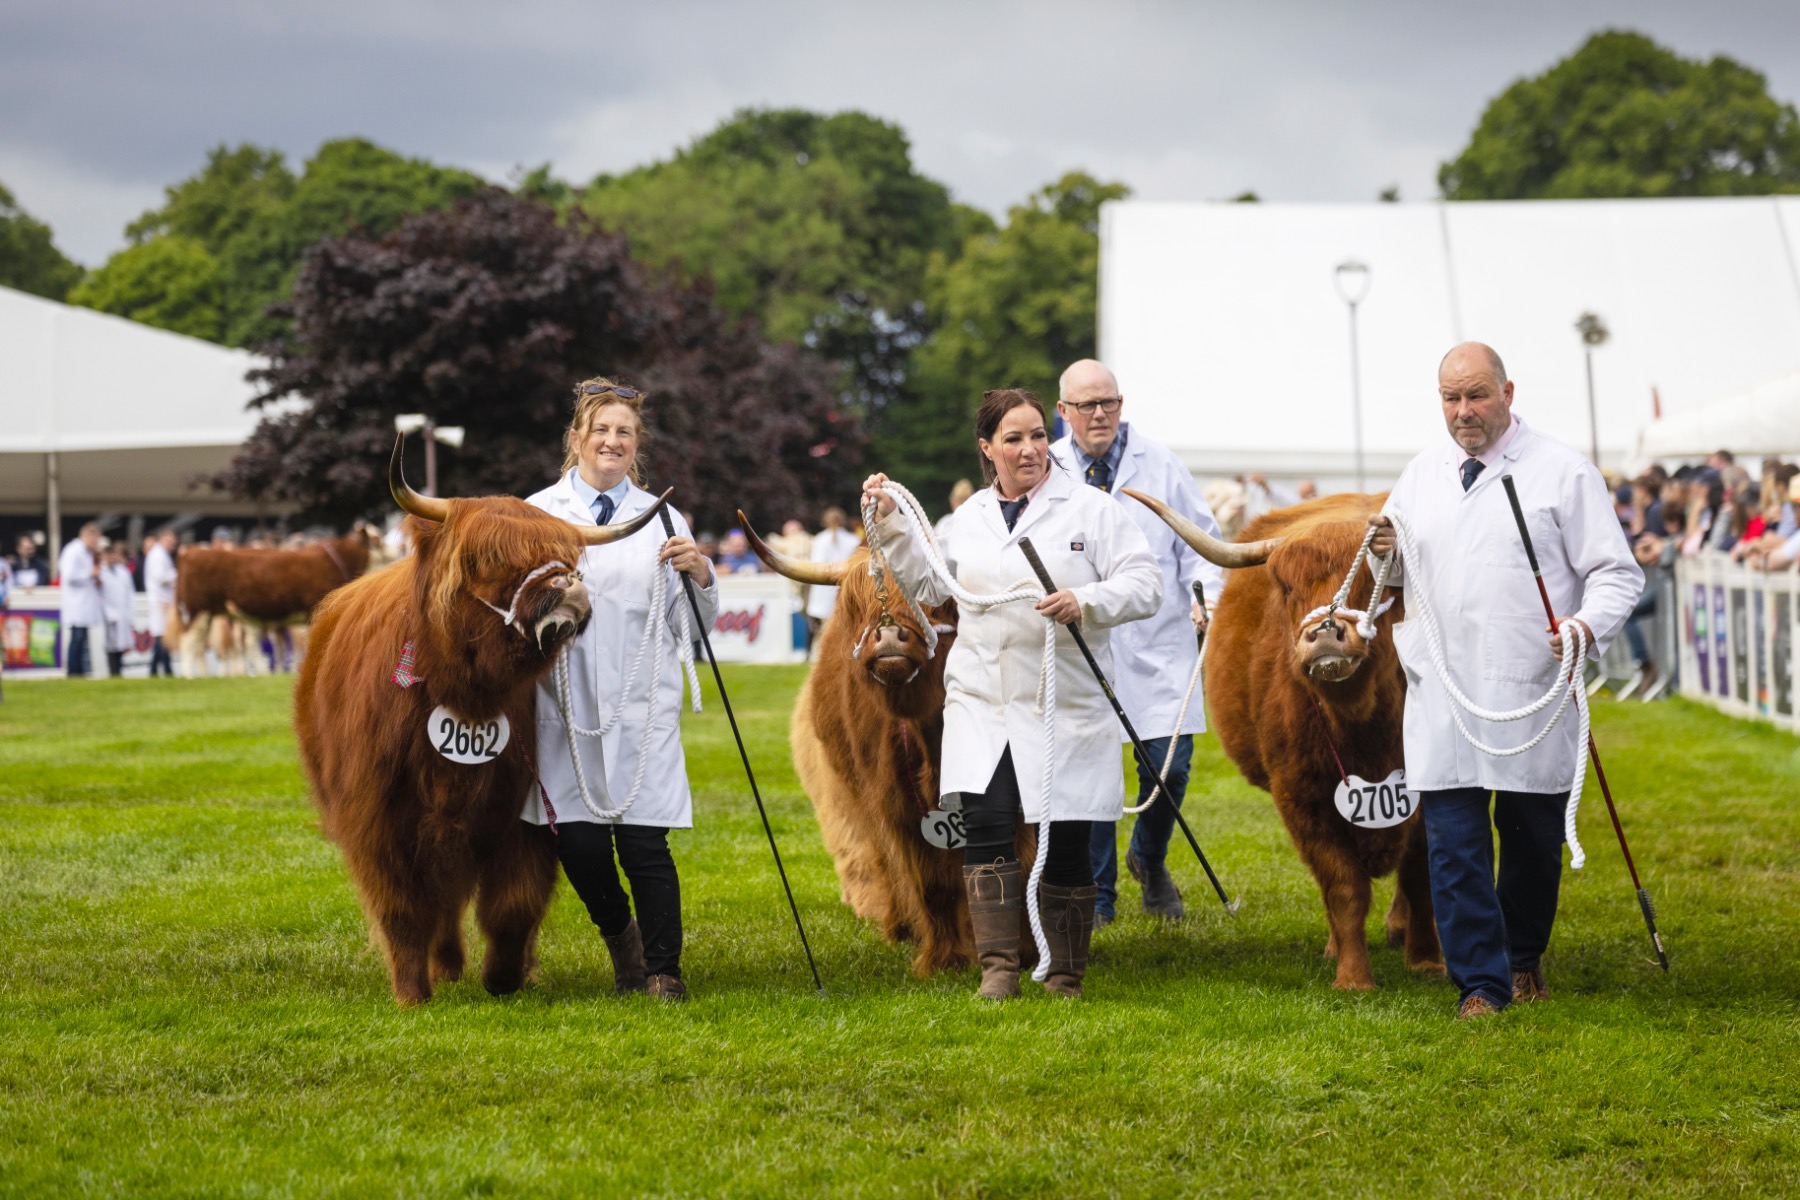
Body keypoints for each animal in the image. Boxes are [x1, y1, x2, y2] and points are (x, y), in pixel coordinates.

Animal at [295, 436, 666, 1005]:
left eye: (568, 557)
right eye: (486, 558)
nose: (571, 592)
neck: (463, 691)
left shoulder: (525, 817)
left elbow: (513, 906)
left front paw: (504, 980)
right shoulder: (375, 817)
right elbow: (401, 910)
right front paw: (411, 995)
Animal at [743, 516, 1036, 978]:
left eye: (938, 602)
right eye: (857, 606)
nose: (889, 637)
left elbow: (1017, 865)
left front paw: (1024, 951)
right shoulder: (896, 806)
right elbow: (930, 881)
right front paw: (945, 959)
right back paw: (901, 926)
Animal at [1126, 488, 1443, 990]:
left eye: (1375, 584)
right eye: (1288, 588)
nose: (1325, 634)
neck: (1364, 728)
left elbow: (1420, 877)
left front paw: (1428, 960)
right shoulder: (1300, 797)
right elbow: (1343, 887)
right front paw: (1352, 976)